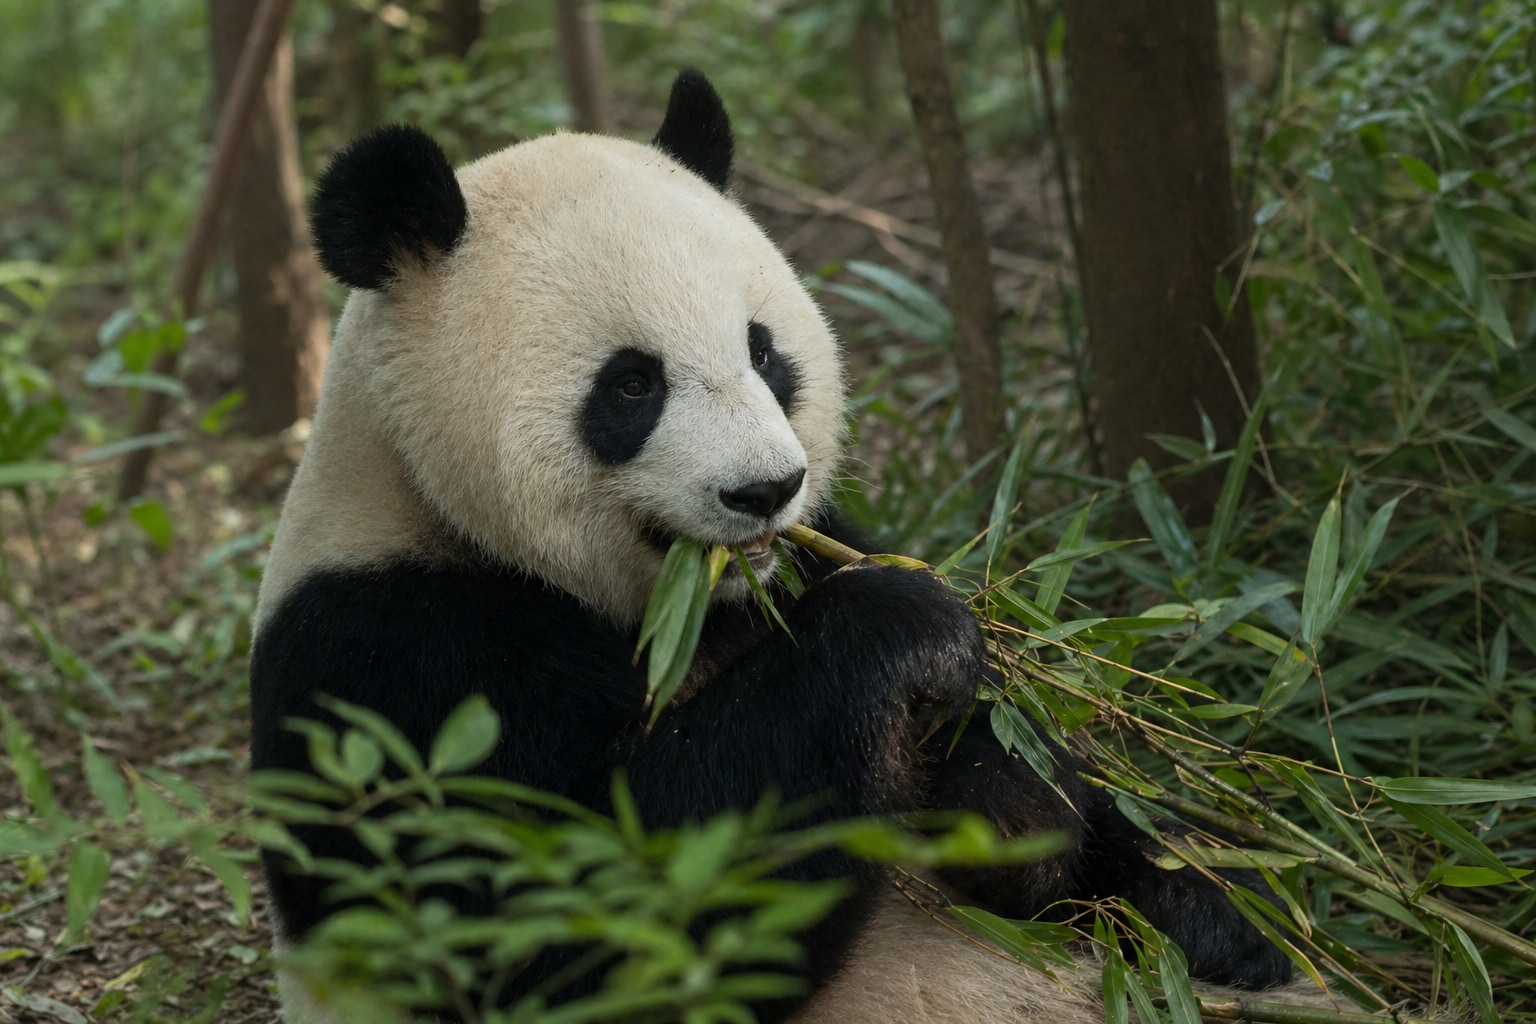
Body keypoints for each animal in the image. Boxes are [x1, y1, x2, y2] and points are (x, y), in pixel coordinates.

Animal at [251, 70, 1302, 1023]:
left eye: (763, 352)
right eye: (631, 385)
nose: (763, 491)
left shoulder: (817, 543)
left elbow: (1054, 793)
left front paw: (1060, 820)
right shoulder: (390, 661)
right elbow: (571, 934)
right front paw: (905, 632)